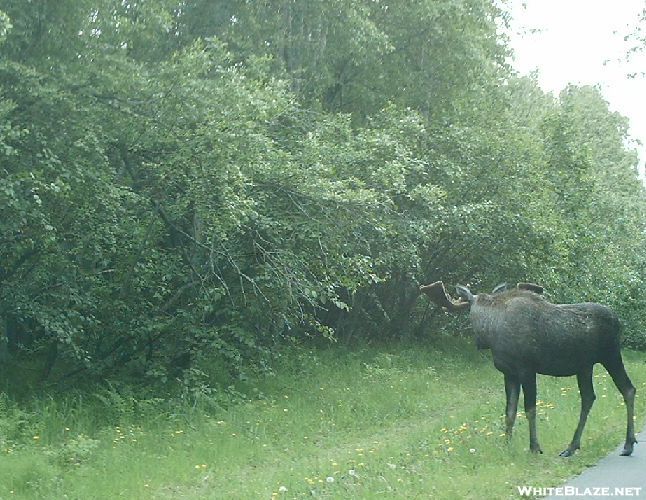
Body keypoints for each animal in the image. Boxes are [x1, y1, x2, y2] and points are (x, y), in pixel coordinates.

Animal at [422, 282, 640, 458]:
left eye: (471, 312)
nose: (479, 342)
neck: (492, 329)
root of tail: (619, 321)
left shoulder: (527, 369)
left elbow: (530, 409)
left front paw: (534, 447)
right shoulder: (509, 373)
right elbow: (509, 411)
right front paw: (506, 444)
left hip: (611, 355)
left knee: (627, 389)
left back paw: (627, 444)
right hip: (585, 366)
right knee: (590, 397)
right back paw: (572, 447)